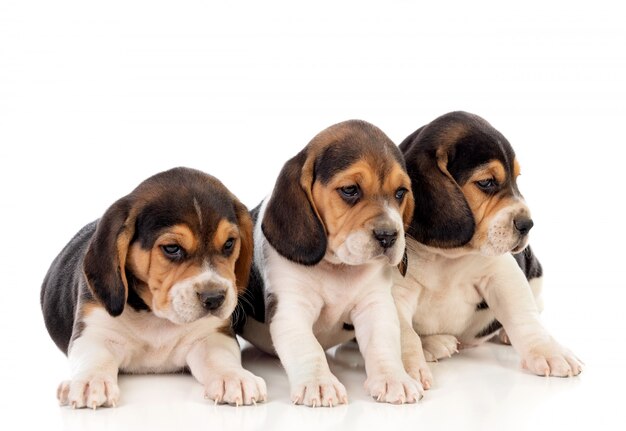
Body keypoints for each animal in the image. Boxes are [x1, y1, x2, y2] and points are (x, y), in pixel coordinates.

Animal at [41, 167, 266, 410]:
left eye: (229, 244)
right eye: (172, 248)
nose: (214, 298)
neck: (156, 316)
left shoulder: (211, 335)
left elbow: (220, 357)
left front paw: (235, 377)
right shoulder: (95, 332)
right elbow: (94, 358)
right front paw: (91, 381)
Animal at [234, 120, 424, 406]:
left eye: (400, 193)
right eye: (350, 190)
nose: (389, 235)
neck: (337, 267)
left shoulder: (375, 305)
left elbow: (383, 344)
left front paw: (394, 378)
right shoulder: (291, 309)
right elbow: (309, 348)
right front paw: (319, 383)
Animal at [392, 112, 584, 382]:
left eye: (516, 180)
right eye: (486, 182)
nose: (527, 224)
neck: (444, 258)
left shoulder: (502, 274)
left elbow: (524, 317)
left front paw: (549, 351)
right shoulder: (396, 292)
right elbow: (402, 334)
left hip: (535, 272)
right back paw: (434, 344)